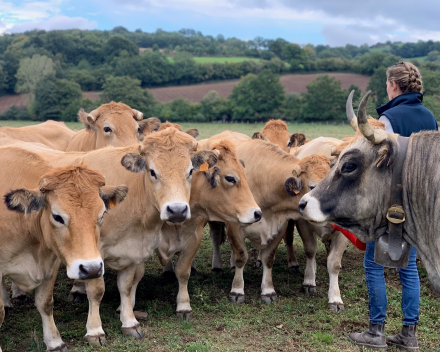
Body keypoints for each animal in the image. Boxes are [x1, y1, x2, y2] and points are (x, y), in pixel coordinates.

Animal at [0, 149, 127, 352]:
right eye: (57, 216)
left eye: (102, 214)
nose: (91, 269)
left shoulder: (50, 264)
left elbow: (45, 303)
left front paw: (54, 342)